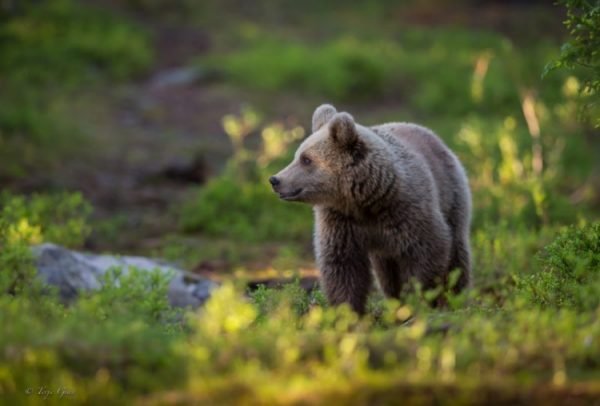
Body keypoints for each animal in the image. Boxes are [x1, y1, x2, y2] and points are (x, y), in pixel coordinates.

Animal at [270, 104, 472, 314]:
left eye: (306, 159)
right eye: (298, 156)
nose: (275, 180)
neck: (366, 201)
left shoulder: (408, 212)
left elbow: (427, 252)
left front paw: (418, 299)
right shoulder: (340, 222)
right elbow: (343, 265)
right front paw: (348, 310)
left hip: (452, 195)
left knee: (457, 253)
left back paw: (455, 299)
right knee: (387, 272)